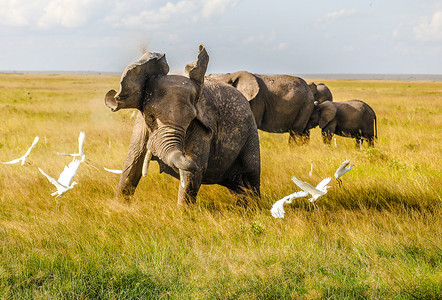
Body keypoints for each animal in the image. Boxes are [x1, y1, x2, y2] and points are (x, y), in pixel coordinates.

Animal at [105, 45, 260, 206]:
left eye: (191, 119)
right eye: (151, 116)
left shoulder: (202, 128)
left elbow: (192, 175)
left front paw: (182, 211)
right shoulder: (141, 125)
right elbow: (132, 163)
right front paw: (119, 206)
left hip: (251, 132)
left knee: (252, 177)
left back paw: (255, 207)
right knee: (238, 188)